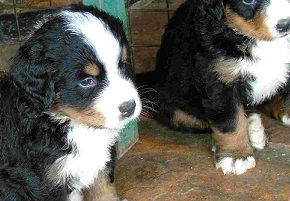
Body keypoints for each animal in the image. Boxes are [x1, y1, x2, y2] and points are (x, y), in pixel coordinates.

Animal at [0, 3, 141, 200]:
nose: (129, 107)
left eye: (123, 64)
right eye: (87, 81)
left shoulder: (103, 164)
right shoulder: (46, 182)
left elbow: (104, 192)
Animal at [138, 0, 290, 175]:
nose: (286, 25)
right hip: (169, 103)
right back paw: (252, 127)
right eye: (248, 1)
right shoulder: (219, 80)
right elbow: (230, 121)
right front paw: (236, 156)